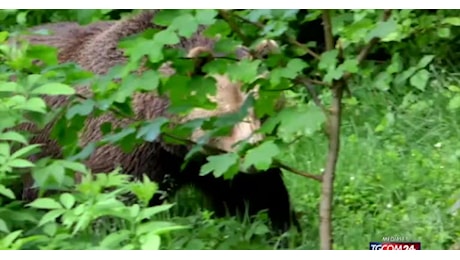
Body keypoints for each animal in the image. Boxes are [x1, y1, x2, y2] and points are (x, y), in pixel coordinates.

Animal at [15, 10, 298, 234]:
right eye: (226, 114)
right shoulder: (122, 141)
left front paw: (281, 227)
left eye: (262, 110)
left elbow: (256, 194)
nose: (253, 158)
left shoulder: (216, 162)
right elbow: (113, 194)